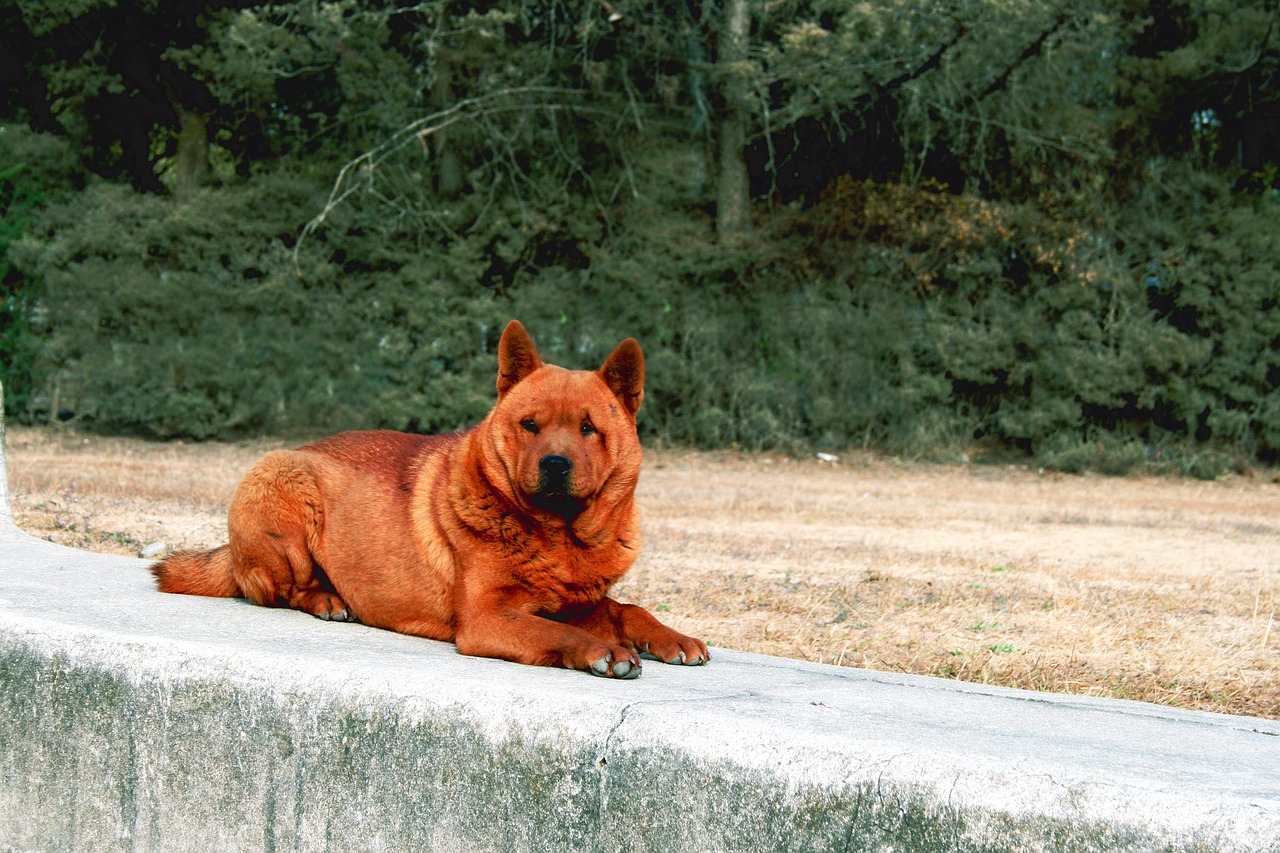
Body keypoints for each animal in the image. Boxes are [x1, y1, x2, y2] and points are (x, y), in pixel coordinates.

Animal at [152, 318, 711, 676]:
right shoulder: (488, 618)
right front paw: (603, 652)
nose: (555, 464)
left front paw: (671, 638)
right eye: (530, 425)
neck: (559, 537)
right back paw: (329, 600)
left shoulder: (575, 602)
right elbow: (562, 636)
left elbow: (627, 609)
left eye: (589, 429)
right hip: (281, 493)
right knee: (285, 589)